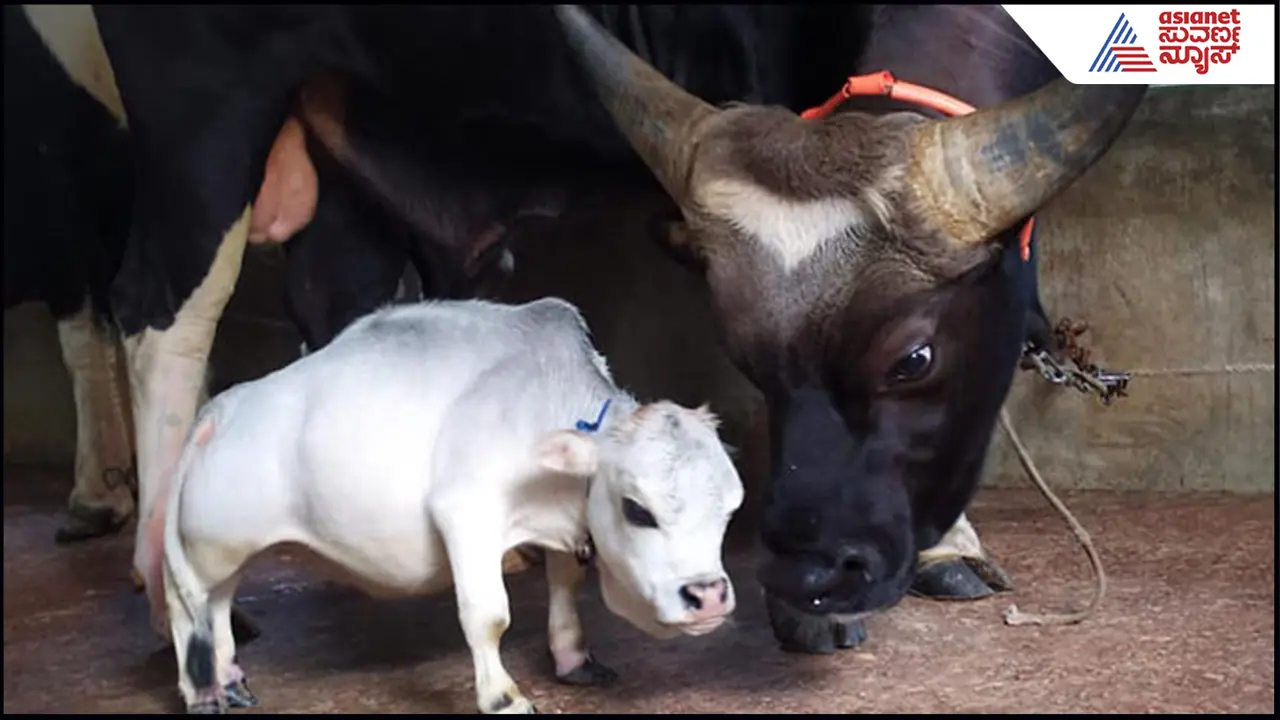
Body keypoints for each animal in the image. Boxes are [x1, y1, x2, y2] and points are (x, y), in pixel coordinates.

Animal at [85, 4, 1145, 656]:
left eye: (914, 357)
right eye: (747, 357)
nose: (806, 576)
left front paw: (945, 545)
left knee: (349, 303)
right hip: (202, 120)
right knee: (156, 314)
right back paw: (171, 589)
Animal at [161, 297, 744, 714]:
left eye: (730, 510)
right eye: (637, 509)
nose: (709, 597)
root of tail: (220, 407)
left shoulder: (563, 526)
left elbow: (564, 584)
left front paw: (573, 657)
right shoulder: (467, 510)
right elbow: (488, 615)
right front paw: (503, 697)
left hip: (227, 544)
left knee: (217, 602)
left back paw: (229, 677)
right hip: (214, 542)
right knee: (185, 600)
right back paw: (203, 692)